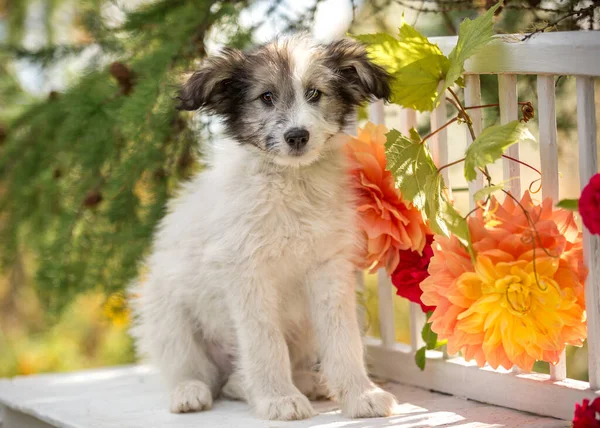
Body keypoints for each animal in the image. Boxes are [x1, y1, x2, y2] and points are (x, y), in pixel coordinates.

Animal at [130, 34, 398, 422]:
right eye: (266, 97)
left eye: (315, 93)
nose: (297, 136)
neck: (290, 183)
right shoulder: (247, 272)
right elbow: (265, 342)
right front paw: (278, 399)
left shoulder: (328, 267)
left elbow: (342, 338)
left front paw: (361, 395)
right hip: (166, 311)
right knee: (194, 368)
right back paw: (191, 391)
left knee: (238, 378)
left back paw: (307, 381)